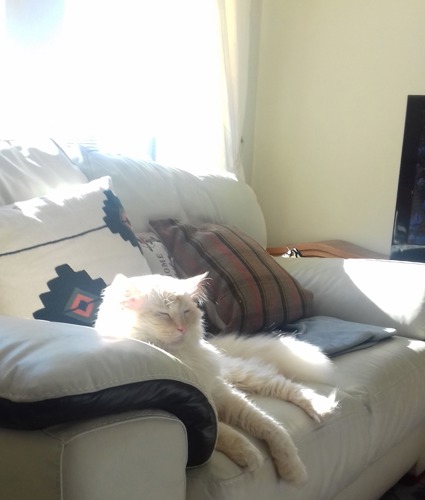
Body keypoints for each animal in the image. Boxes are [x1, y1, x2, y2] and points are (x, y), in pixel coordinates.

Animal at [94, 274, 336, 484]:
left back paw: (322, 407)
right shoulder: (204, 413)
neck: (182, 359)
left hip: (244, 376)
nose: (182, 329)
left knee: (289, 387)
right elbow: (225, 433)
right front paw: (251, 456)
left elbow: (272, 427)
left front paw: (293, 470)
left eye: (186, 312)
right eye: (163, 314)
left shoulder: (222, 394)